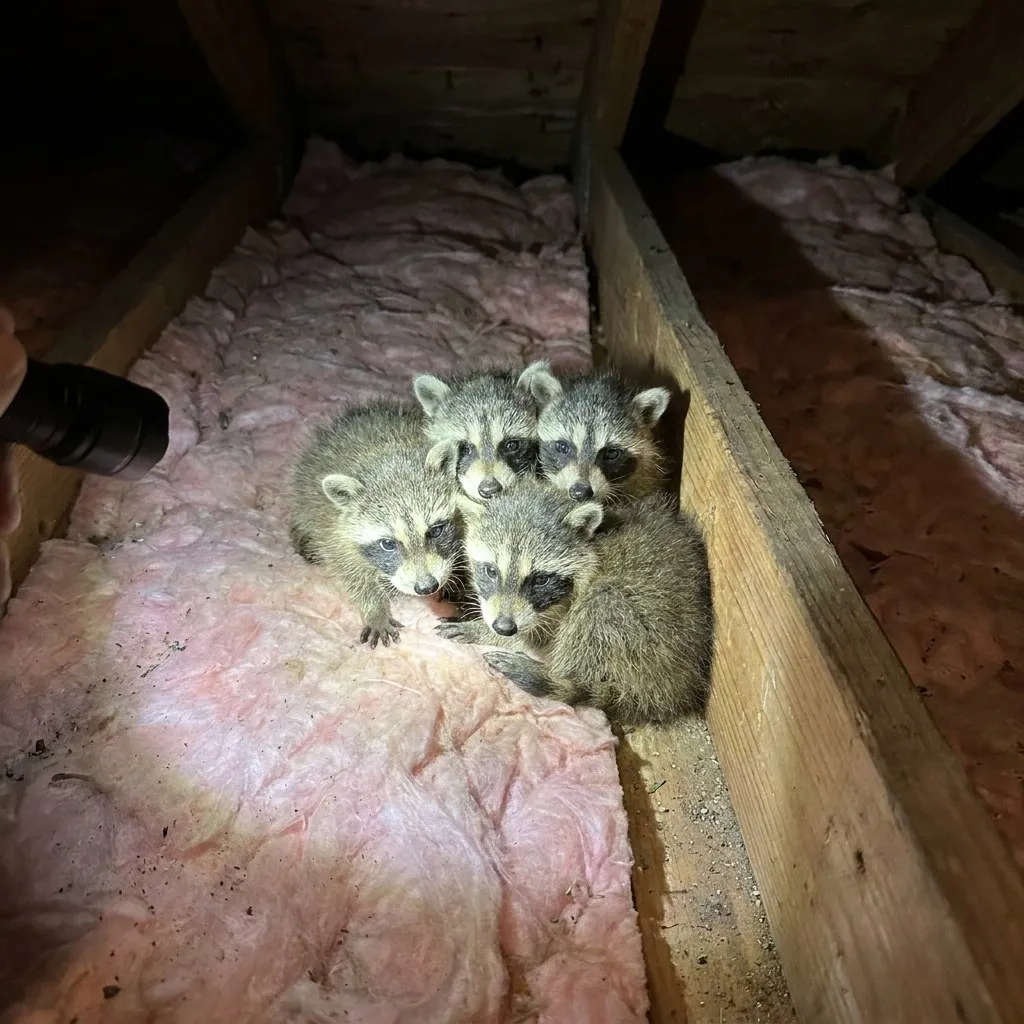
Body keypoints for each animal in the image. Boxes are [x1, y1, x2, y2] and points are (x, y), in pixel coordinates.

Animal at [290, 399, 462, 648]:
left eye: (436, 531)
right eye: (388, 544)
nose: (427, 587)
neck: (385, 456)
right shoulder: (335, 531)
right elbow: (351, 573)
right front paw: (375, 609)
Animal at [437, 479, 714, 727]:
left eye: (541, 579)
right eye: (491, 571)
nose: (503, 627)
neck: (592, 545)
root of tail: (678, 685)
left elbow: (539, 641)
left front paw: (484, 631)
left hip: (650, 625)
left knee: (600, 607)